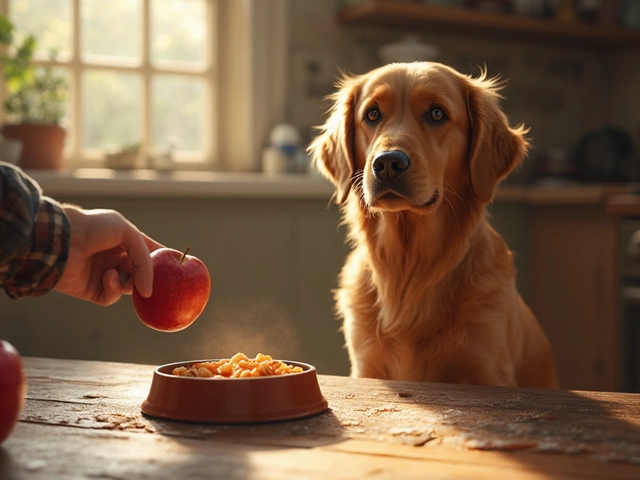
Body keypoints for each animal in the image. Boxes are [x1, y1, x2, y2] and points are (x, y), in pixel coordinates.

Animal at [310, 62, 560, 388]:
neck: (410, 268)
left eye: (437, 114)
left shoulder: (487, 370)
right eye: (372, 114)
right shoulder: (367, 368)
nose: (387, 164)